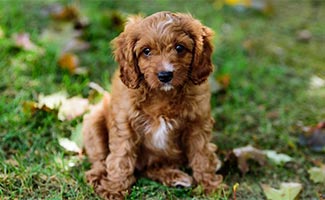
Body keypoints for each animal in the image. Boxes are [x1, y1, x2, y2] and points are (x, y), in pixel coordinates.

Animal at [82, 11, 221, 200]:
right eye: (146, 51)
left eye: (179, 48)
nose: (165, 75)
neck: (162, 94)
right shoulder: (124, 122)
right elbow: (120, 156)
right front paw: (114, 189)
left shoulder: (198, 123)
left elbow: (202, 154)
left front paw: (211, 187)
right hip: (94, 121)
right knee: (100, 159)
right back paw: (96, 176)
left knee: (149, 168)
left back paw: (175, 176)